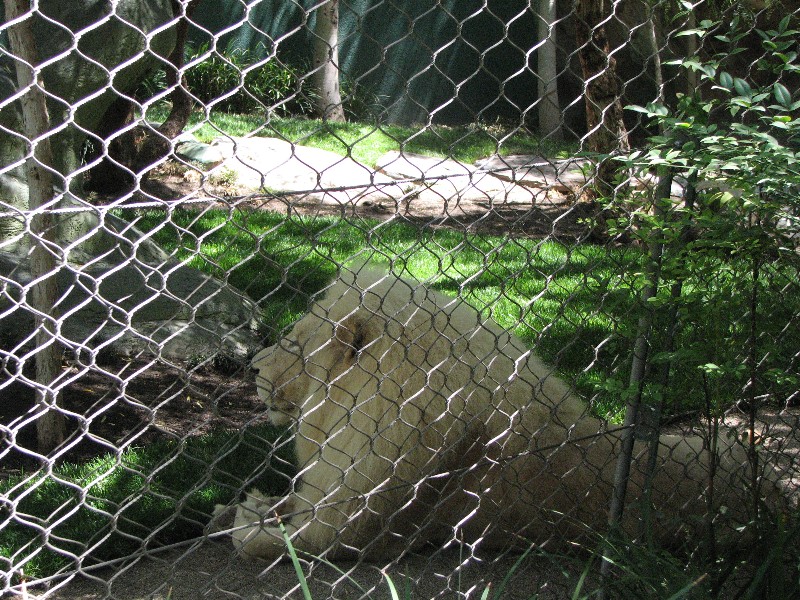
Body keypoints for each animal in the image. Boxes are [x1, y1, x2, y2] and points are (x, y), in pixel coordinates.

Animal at [220, 264, 780, 560]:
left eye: (293, 342)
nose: (251, 366)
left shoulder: (354, 528)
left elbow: (269, 542)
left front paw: (246, 515)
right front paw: (248, 504)